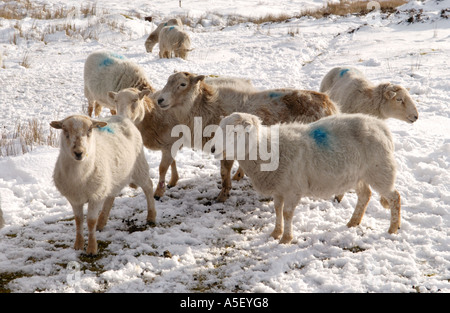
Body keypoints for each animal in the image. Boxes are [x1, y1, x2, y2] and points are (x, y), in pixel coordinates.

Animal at [50, 114, 156, 254]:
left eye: (90, 130)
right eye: (64, 131)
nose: (79, 152)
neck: (79, 176)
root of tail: (121, 116)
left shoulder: (96, 197)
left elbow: (90, 221)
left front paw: (91, 249)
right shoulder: (75, 199)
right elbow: (78, 220)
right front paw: (78, 245)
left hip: (139, 166)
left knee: (148, 186)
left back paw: (151, 216)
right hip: (112, 178)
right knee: (111, 195)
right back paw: (101, 222)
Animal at [110, 71, 338, 201]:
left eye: (183, 84)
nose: (160, 100)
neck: (206, 106)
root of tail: (330, 103)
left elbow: (223, 171)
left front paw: (223, 194)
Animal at [211, 112, 400, 244]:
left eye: (234, 131)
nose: (213, 149)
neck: (265, 148)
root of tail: (381, 126)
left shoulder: (293, 189)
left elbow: (287, 213)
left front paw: (286, 239)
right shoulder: (279, 188)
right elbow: (277, 209)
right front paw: (275, 233)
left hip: (380, 171)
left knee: (394, 197)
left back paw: (392, 229)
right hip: (357, 175)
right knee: (365, 195)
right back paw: (353, 223)